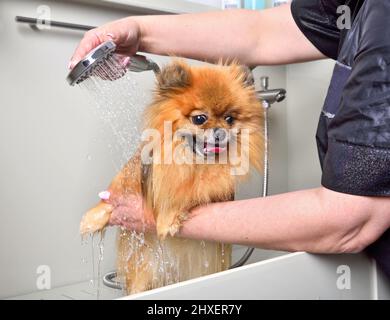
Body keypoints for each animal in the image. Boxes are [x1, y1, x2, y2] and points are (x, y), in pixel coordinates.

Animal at [79, 58, 264, 294]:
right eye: (199, 119)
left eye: (230, 119)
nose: (220, 131)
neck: (189, 161)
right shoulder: (128, 181)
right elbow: (109, 198)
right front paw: (90, 220)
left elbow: (185, 197)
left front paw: (167, 220)